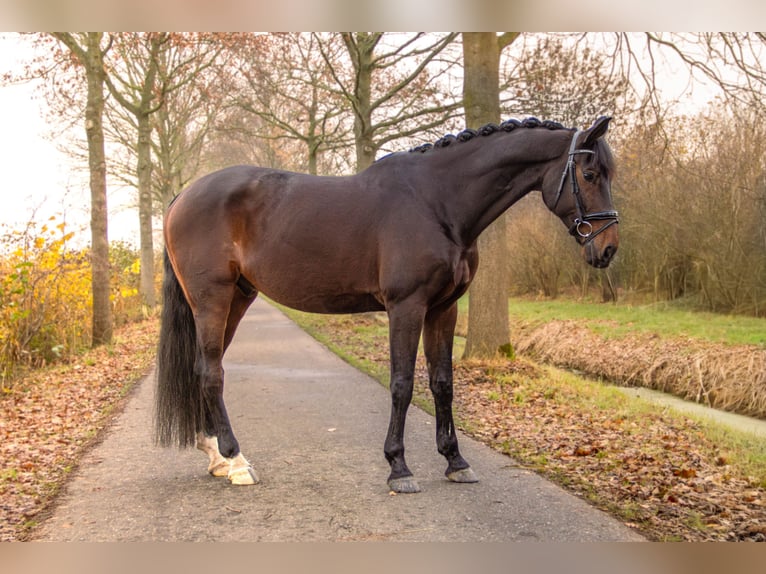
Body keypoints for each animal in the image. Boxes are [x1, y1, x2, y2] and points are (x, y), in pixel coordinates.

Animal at [155, 116, 619, 493]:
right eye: (590, 173)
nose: (609, 249)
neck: (437, 202)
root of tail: (181, 196)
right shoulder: (406, 307)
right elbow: (402, 384)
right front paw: (399, 468)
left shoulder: (443, 309)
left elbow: (442, 383)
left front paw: (455, 461)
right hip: (212, 299)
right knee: (211, 373)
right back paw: (236, 461)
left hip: (238, 297)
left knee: (205, 368)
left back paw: (216, 455)